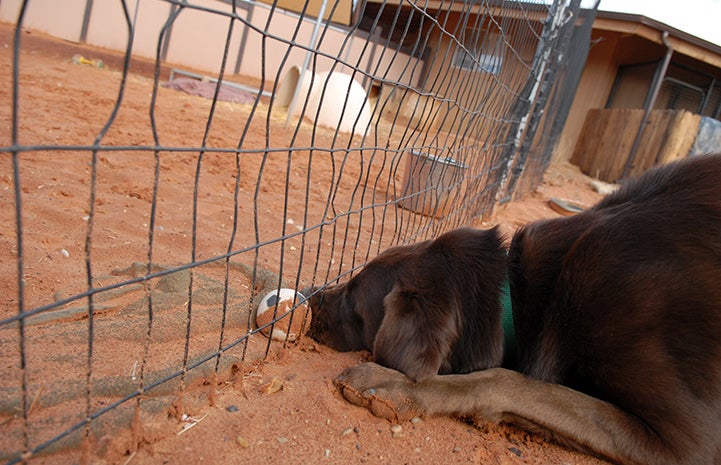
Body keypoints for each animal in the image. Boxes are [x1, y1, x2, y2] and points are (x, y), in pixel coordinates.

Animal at [312, 155, 720, 464]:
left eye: (353, 296)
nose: (311, 297)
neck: (516, 295)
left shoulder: (684, 443)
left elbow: (507, 380)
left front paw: (392, 384)